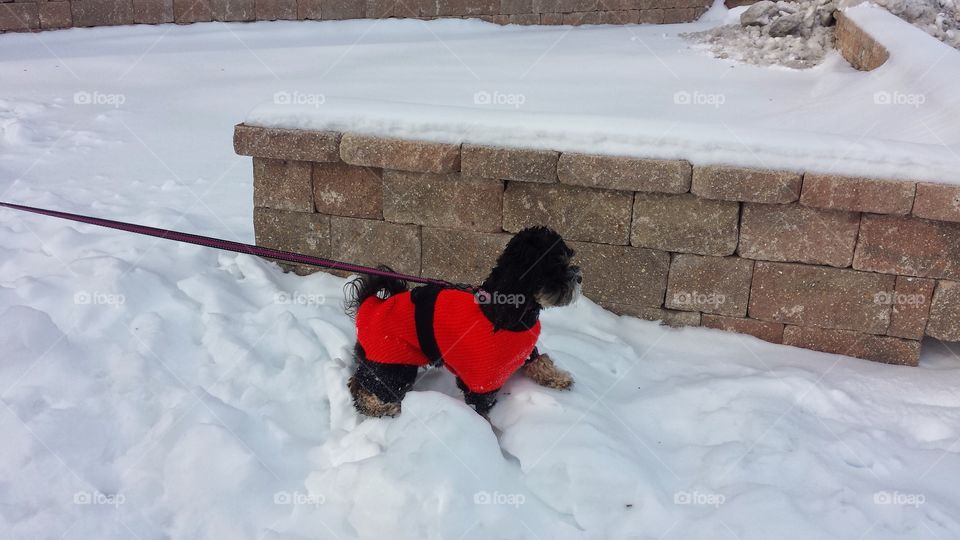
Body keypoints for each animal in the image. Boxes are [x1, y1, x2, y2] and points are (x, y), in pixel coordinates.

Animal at [344, 225, 580, 418]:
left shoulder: (525, 353)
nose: (578, 276)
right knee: (370, 387)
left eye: (567, 259)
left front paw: (556, 378)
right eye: (555, 265)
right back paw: (381, 408)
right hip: (393, 363)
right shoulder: (479, 383)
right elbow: (481, 411)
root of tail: (371, 305)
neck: (503, 313)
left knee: (359, 380)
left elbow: (541, 361)